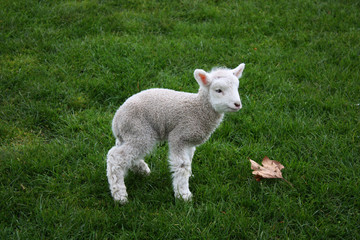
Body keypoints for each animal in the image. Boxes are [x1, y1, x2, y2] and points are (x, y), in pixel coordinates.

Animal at [107, 62, 246, 203]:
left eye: (237, 87)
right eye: (218, 90)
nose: (237, 104)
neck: (198, 110)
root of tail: (116, 121)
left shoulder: (189, 142)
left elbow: (188, 161)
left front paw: (189, 176)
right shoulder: (179, 136)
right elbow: (181, 165)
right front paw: (183, 195)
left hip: (130, 135)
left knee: (127, 155)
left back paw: (142, 170)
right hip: (139, 132)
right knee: (115, 157)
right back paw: (120, 195)